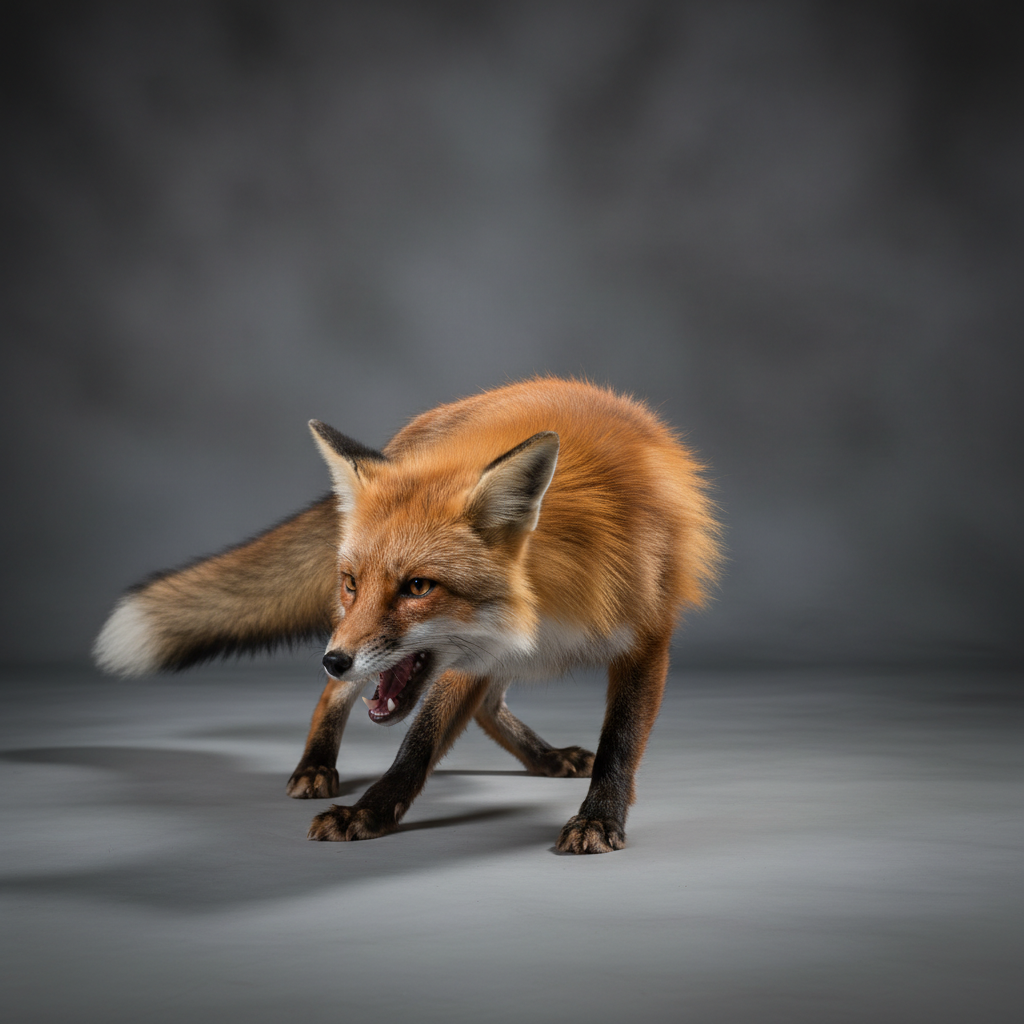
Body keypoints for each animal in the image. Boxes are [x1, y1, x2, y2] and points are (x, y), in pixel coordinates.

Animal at [94, 378, 721, 853]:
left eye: (418, 586)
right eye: (354, 583)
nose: (332, 659)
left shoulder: (646, 638)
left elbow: (620, 741)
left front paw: (598, 817)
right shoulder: (460, 658)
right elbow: (417, 743)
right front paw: (371, 811)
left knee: (489, 706)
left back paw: (543, 757)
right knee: (341, 698)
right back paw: (315, 765)